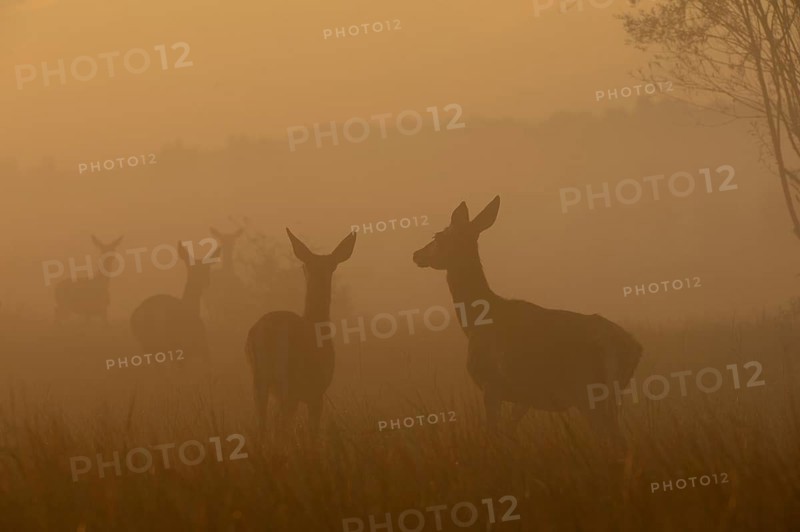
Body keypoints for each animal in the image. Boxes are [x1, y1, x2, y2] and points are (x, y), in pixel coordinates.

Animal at [245, 228, 356, 433]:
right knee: (280, 424)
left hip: (259, 380)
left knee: (262, 424)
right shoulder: (317, 391)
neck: (315, 321)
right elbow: (313, 432)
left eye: (331, 266)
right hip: (289, 382)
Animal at [412, 196, 642, 443]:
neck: (475, 323)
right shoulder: (524, 397)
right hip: (612, 395)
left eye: (438, 236)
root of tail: (632, 347)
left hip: (589, 391)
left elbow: (493, 434)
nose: (416, 254)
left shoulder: (491, 384)